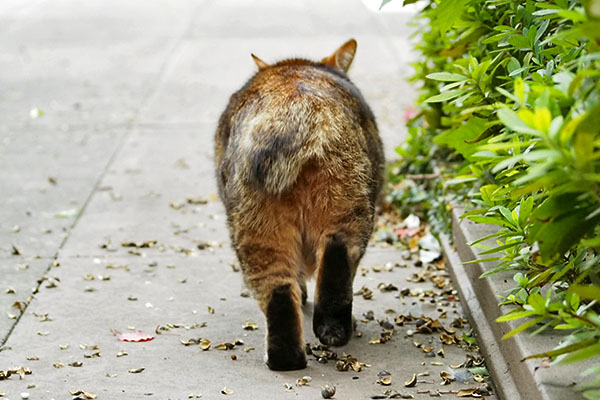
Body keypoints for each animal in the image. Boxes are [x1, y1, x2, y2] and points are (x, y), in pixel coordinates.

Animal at [216, 39, 384, 370]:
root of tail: (296, 103)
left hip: (257, 234)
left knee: (280, 291)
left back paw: (290, 357)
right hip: (350, 213)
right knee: (335, 264)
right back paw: (333, 330)